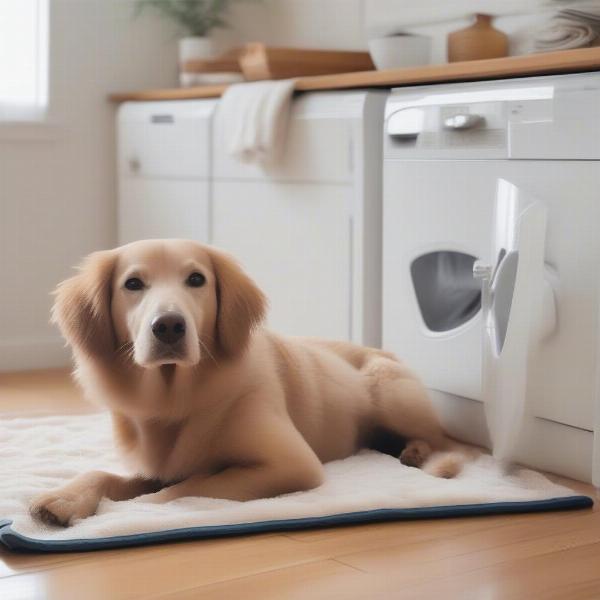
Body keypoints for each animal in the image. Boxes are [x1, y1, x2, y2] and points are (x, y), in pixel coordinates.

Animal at [29, 237, 468, 528]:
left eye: (196, 279)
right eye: (133, 284)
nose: (168, 326)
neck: (177, 397)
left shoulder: (291, 463)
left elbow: (186, 488)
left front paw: (130, 510)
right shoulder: (154, 464)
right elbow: (104, 475)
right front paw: (64, 498)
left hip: (390, 389)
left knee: (449, 442)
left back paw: (422, 454)